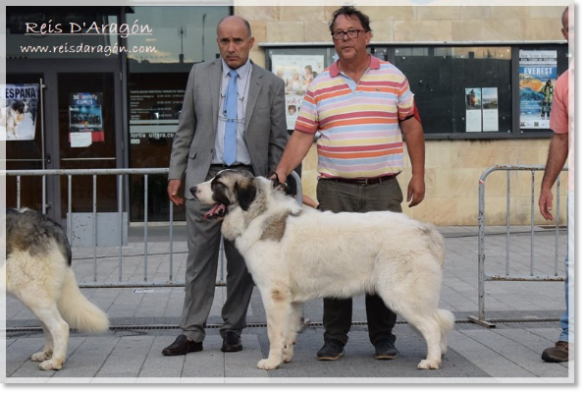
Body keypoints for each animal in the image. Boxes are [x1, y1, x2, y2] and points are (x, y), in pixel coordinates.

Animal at [194, 171, 454, 370]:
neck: (259, 214)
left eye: (217, 183)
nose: (192, 188)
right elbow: (288, 330)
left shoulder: (273, 295)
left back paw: (431, 361)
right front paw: (285, 356)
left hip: (400, 294)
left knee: (432, 326)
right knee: (438, 322)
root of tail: (424, 229)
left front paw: (271, 362)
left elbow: (273, 332)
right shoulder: (289, 299)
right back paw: (439, 354)